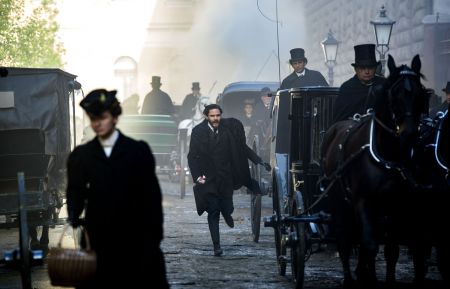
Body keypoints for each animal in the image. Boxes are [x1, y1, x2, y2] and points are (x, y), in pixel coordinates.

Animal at [320, 55, 428, 286]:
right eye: (394, 93)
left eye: (419, 93)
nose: (409, 134)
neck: (388, 156)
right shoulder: (364, 201)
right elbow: (369, 244)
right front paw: (366, 276)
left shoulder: (396, 205)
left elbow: (391, 249)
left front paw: (383, 278)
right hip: (339, 200)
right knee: (344, 236)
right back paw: (349, 277)